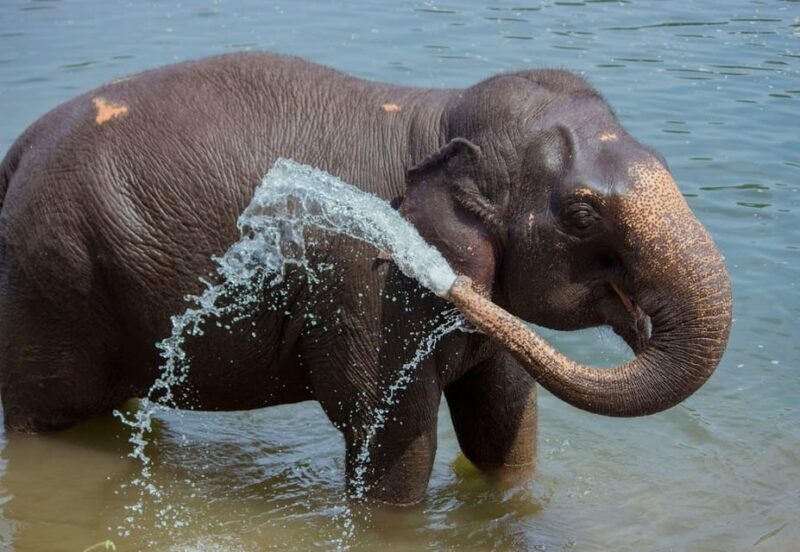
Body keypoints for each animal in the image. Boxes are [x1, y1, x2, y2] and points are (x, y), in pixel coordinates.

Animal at [0, 53, 732, 505]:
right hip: (51, 285)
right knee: (37, 417)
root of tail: (16, 154)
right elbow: (393, 446)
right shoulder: (362, 287)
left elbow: (503, 426)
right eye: (582, 215)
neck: (435, 115)